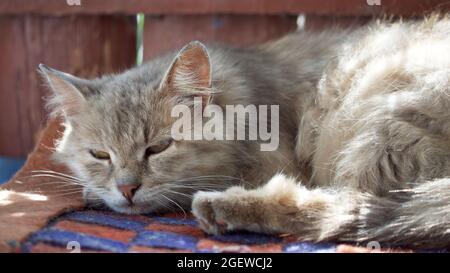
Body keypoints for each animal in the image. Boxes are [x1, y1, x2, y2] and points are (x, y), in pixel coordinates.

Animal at [38, 14, 450, 249]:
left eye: (158, 148)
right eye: (100, 155)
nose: (126, 189)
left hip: (374, 130)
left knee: (337, 205)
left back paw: (223, 208)